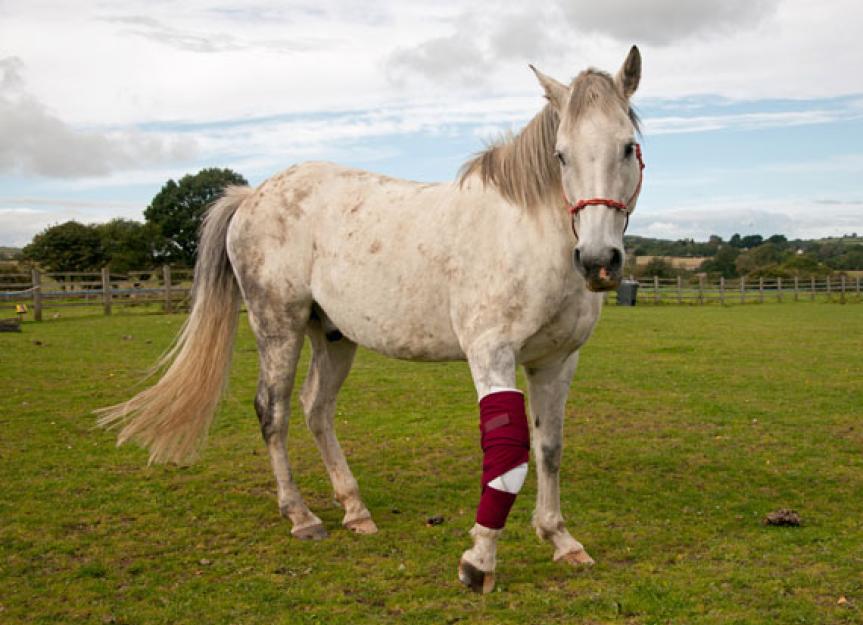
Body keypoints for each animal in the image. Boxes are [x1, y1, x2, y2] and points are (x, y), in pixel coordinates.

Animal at [98, 45, 644, 594]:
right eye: (561, 155)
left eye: (627, 147)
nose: (598, 261)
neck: (528, 234)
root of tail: (252, 196)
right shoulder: (491, 353)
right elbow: (507, 453)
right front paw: (479, 562)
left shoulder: (556, 361)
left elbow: (548, 446)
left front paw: (560, 539)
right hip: (278, 326)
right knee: (273, 412)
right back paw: (301, 516)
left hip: (333, 336)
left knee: (316, 409)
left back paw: (354, 509)